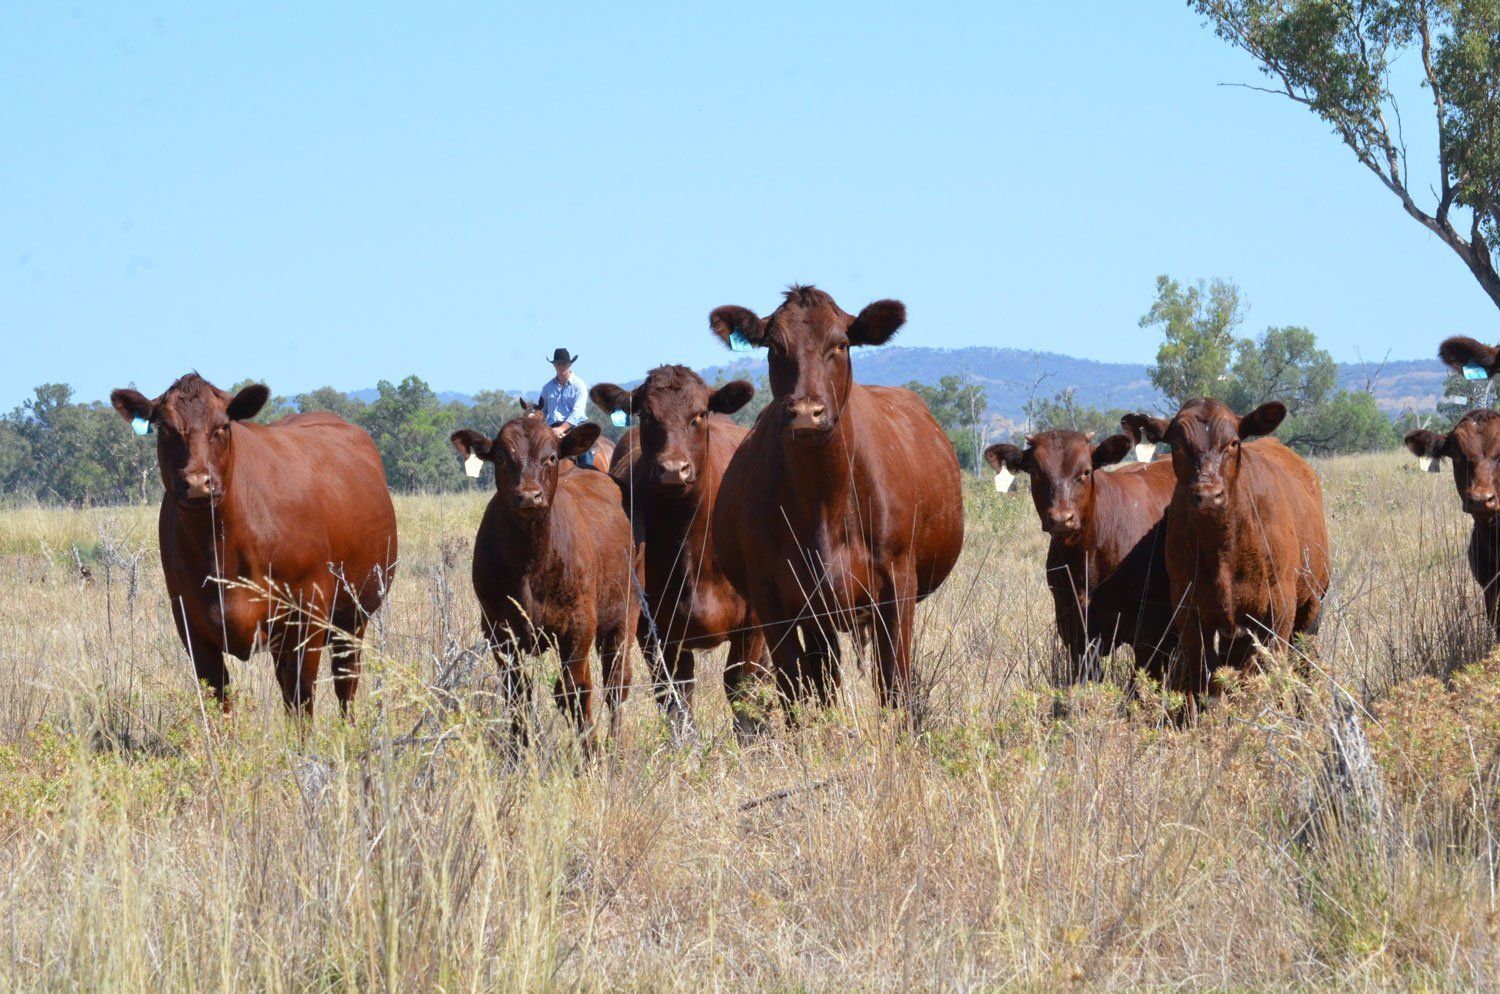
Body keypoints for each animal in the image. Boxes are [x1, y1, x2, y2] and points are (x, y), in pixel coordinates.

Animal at [109, 374, 397, 717]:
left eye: (223, 426)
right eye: (164, 428)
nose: (197, 483)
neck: (219, 550)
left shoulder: (307, 618)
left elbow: (302, 700)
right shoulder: (192, 627)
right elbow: (220, 703)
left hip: (353, 618)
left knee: (345, 687)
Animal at [450, 418, 638, 747]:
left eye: (550, 457)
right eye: (501, 458)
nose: (529, 496)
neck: (530, 561)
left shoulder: (579, 626)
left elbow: (576, 689)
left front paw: (589, 750)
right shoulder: (498, 630)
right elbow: (517, 694)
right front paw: (518, 750)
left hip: (626, 615)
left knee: (616, 684)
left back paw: (614, 745)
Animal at [589, 367, 769, 740]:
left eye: (699, 414)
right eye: (646, 415)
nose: (674, 469)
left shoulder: (754, 621)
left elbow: (742, 687)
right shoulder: (653, 629)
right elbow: (674, 697)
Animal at [706, 285, 965, 713]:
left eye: (841, 344)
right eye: (774, 346)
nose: (806, 412)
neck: (824, 501)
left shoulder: (897, 585)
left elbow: (894, 685)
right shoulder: (774, 602)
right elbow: (794, 689)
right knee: (822, 678)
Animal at [1122, 400, 1329, 710]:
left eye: (1233, 442)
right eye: (1177, 444)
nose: (1208, 495)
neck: (1225, 548)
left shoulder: (1280, 611)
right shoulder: (1190, 615)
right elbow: (1207, 682)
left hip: (1311, 605)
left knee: (1304, 664)